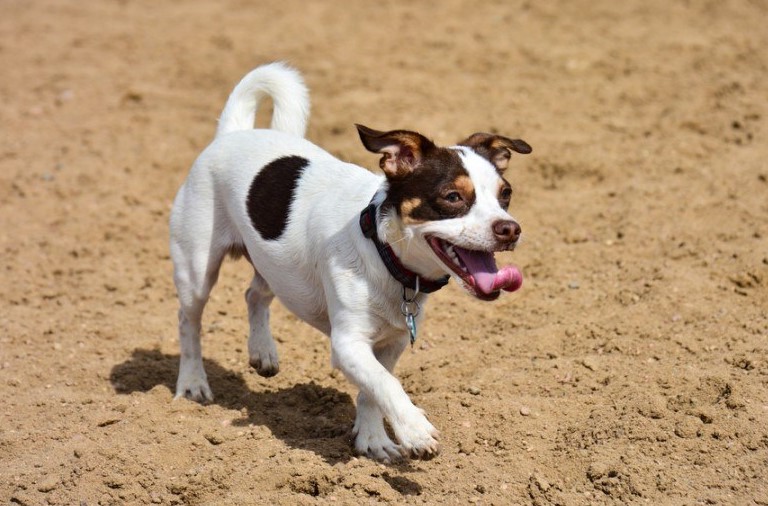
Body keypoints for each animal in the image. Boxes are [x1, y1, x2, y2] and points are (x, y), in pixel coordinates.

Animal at [169, 61, 532, 460]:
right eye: (452, 197)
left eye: (506, 194)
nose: (509, 229)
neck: (382, 251)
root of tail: (233, 133)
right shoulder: (348, 344)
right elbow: (386, 385)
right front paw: (414, 430)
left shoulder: (391, 342)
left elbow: (374, 388)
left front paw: (373, 439)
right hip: (196, 269)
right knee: (189, 322)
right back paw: (192, 382)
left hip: (274, 264)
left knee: (255, 294)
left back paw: (262, 352)